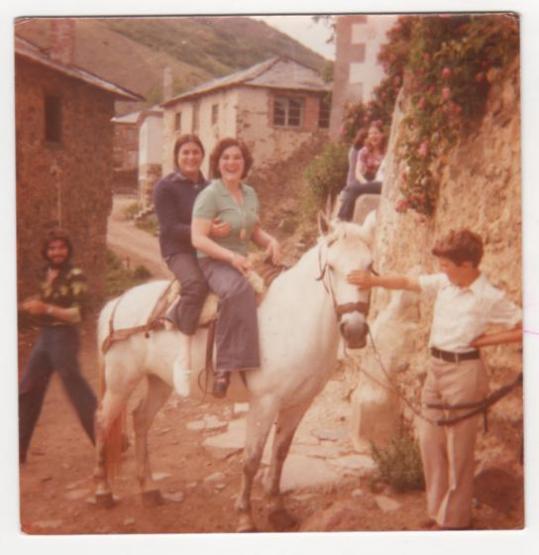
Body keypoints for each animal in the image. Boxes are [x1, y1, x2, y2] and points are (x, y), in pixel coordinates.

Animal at [93, 214, 375, 532]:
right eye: (332, 267)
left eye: (369, 265)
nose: (354, 331)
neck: (293, 318)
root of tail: (116, 304)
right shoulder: (264, 403)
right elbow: (251, 460)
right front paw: (245, 517)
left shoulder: (299, 404)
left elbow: (280, 455)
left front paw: (278, 510)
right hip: (120, 383)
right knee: (103, 421)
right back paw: (103, 492)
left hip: (159, 382)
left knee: (140, 419)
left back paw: (149, 489)